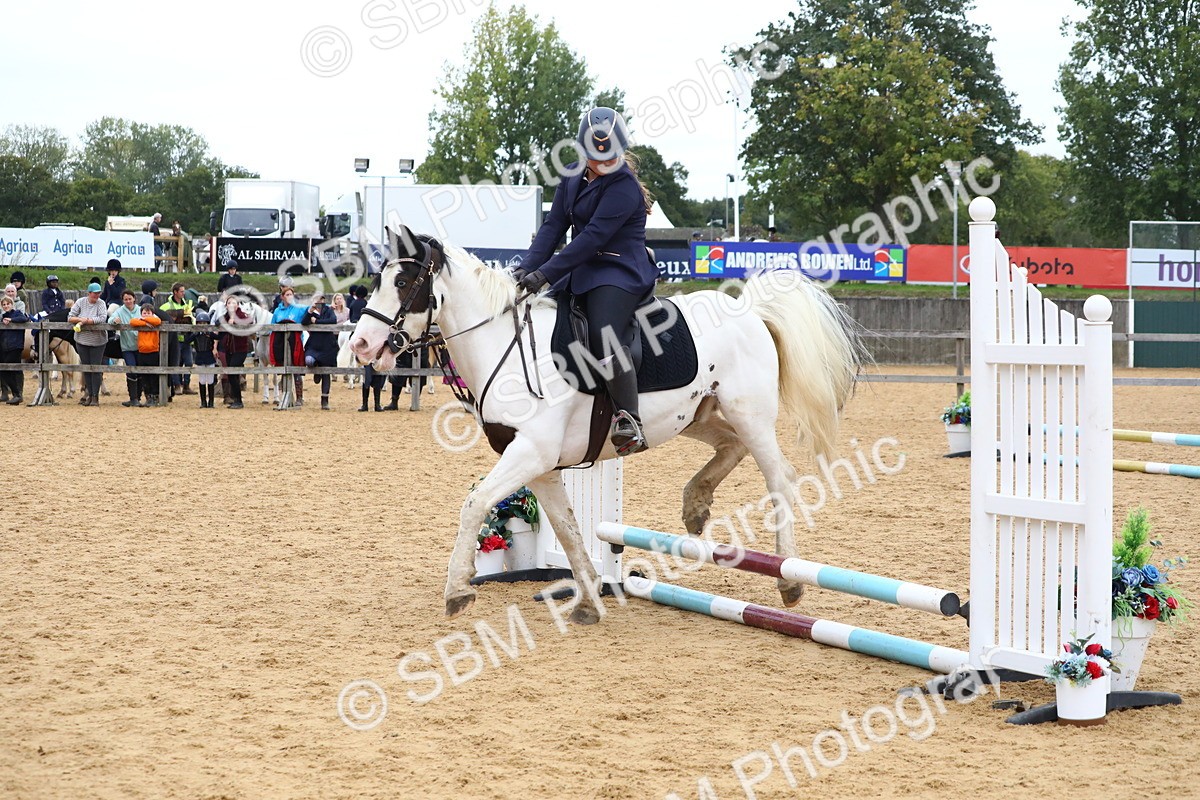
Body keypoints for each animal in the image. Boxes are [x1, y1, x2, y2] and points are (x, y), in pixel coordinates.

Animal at [348, 227, 864, 625]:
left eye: (405, 280)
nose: (360, 344)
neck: (505, 346)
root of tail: (749, 311)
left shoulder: (531, 452)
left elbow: (474, 504)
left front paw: (457, 590)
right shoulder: (540, 465)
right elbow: (568, 529)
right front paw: (589, 599)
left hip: (750, 414)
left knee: (780, 478)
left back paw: (789, 584)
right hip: (697, 415)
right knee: (729, 447)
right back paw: (695, 506)